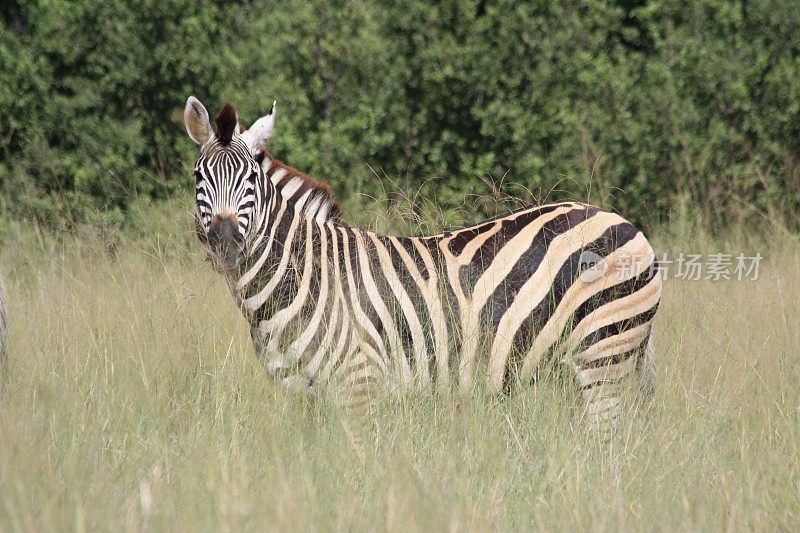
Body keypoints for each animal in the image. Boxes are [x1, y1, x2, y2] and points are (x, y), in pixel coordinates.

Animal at [183, 96, 664, 436]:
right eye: (198, 177)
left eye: (250, 180)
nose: (225, 245)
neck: (303, 278)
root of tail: (620, 220)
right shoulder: (301, 394)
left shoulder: (360, 385)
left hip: (603, 355)